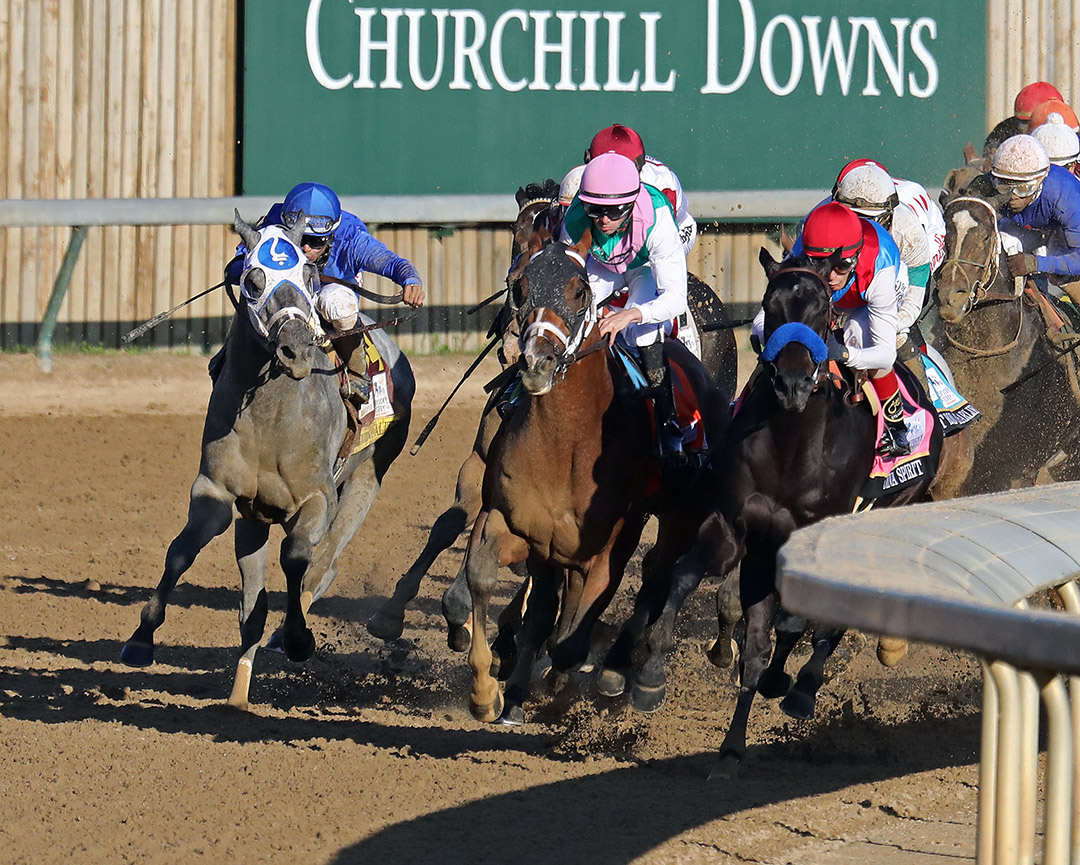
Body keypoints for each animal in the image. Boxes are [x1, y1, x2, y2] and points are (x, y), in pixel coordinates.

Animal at [120, 210, 414, 708]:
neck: (271, 419)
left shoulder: (317, 498)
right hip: (253, 520)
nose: (296, 347)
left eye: (308, 276)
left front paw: (296, 638)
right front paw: (141, 639)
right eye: (253, 280)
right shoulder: (218, 493)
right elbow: (181, 551)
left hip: (366, 480)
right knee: (252, 606)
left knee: (325, 562)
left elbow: (295, 557)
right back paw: (239, 692)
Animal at [455, 227, 725, 721]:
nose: (535, 362)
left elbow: (570, 642)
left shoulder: (609, 547)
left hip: (678, 515)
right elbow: (484, 575)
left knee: (655, 576)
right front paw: (487, 692)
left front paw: (563, 679)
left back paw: (628, 674)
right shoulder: (515, 524)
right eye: (519, 286)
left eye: (579, 291)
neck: (567, 443)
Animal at [630, 246, 941, 773]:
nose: (793, 383)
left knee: (826, 623)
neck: (793, 446)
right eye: (769, 306)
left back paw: (800, 688)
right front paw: (651, 672)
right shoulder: (734, 526)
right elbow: (687, 577)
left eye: (821, 308)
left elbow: (792, 624)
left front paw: (785, 681)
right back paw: (733, 745)